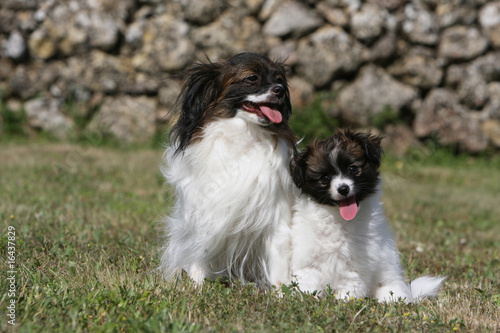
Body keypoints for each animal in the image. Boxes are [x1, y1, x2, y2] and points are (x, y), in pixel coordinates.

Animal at [160, 52, 296, 288]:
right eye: (252, 78)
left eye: (279, 79)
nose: (279, 89)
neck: (245, 135)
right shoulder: (205, 213)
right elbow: (200, 252)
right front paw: (195, 287)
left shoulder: (277, 217)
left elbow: (279, 264)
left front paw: (282, 292)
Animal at [290, 130, 446, 300]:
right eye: (325, 178)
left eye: (352, 168)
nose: (343, 189)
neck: (338, 218)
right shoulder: (308, 257)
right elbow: (308, 280)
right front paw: (304, 298)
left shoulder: (356, 261)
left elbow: (350, 282)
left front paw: (343, 301)